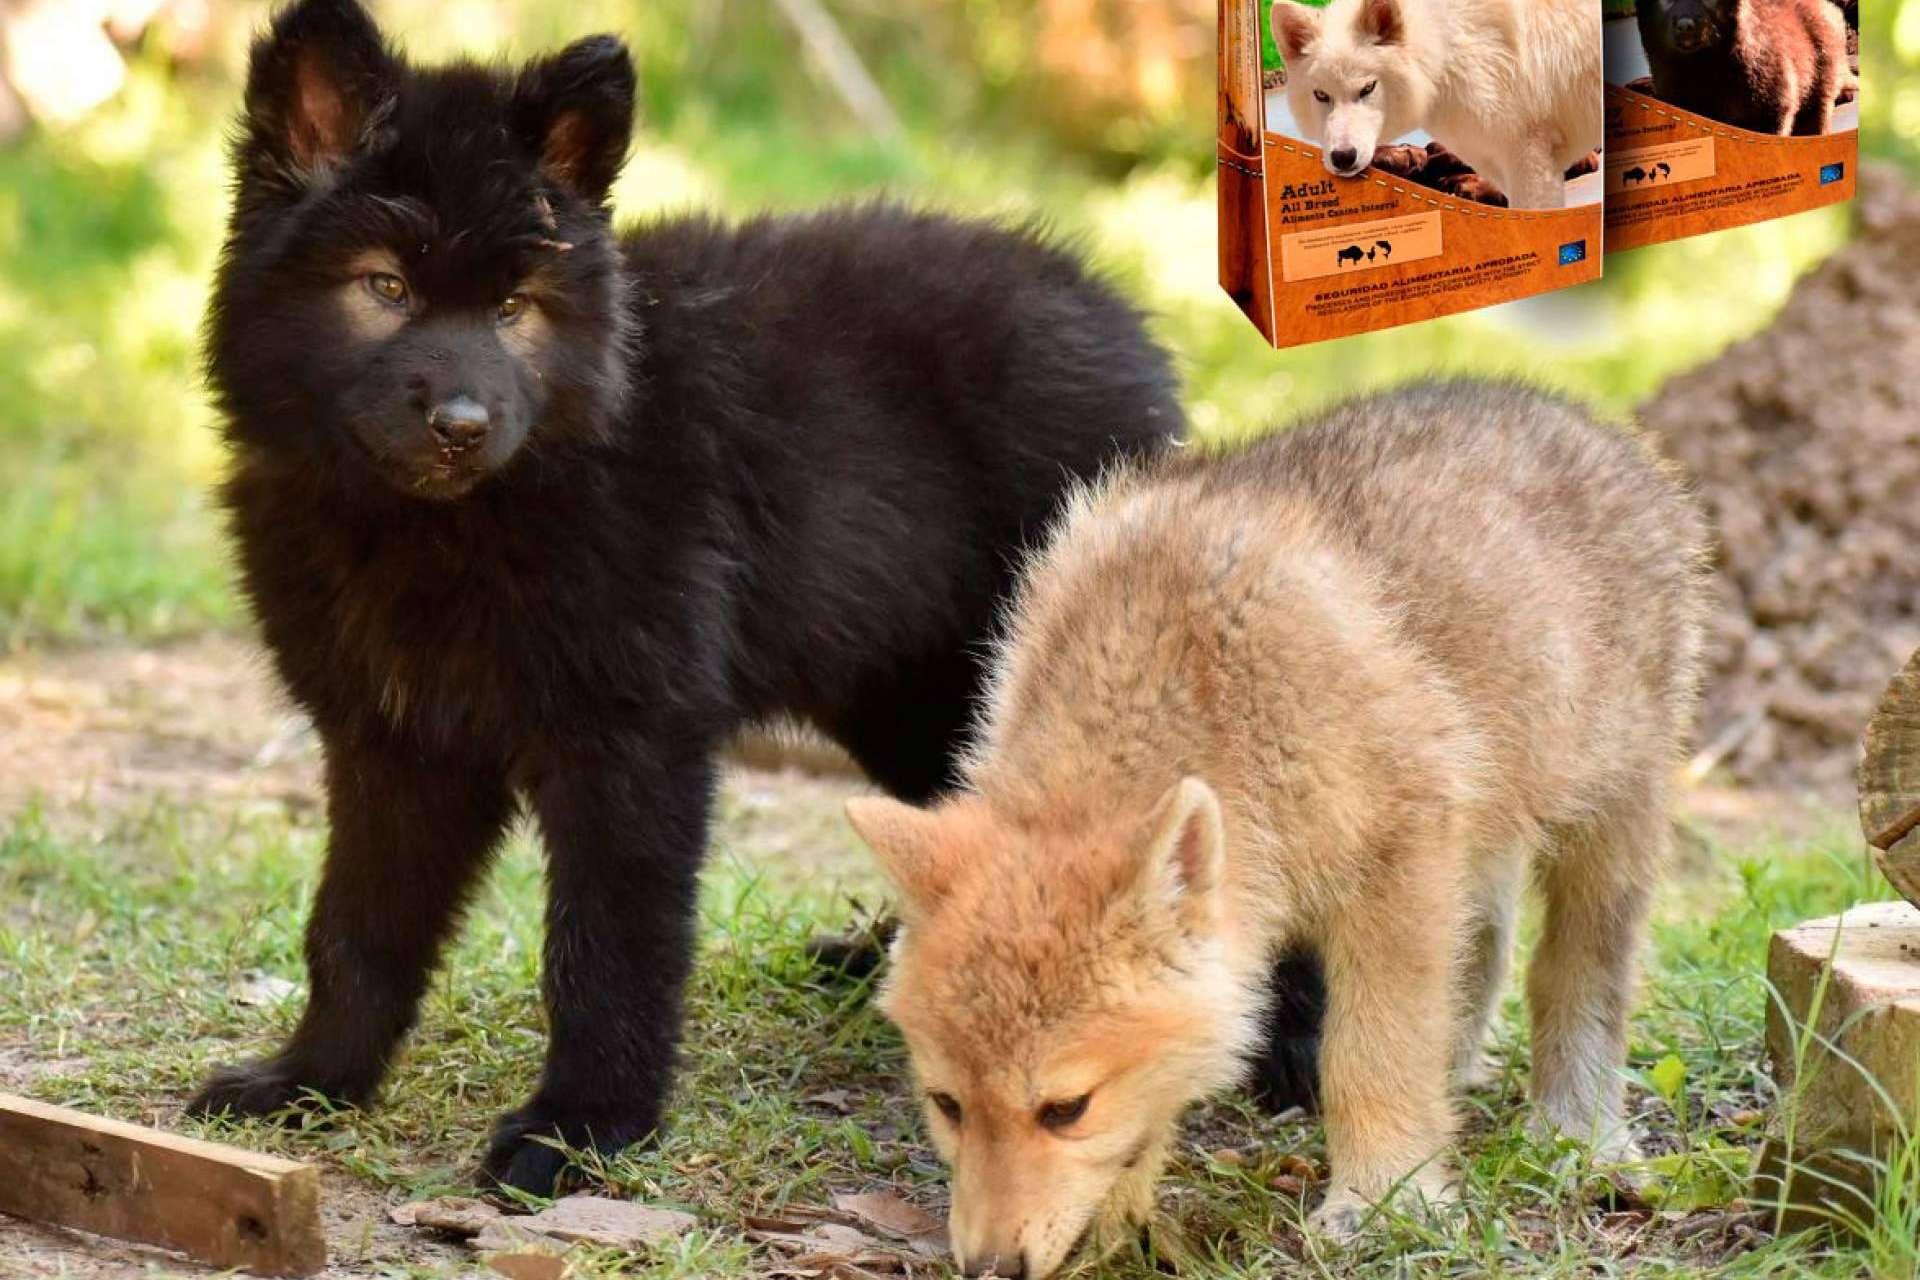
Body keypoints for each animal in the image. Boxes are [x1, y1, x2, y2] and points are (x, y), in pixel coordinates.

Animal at [187, 0, 1204, 1194]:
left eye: (515, 306)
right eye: (384, 286)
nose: (463, 425)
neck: (443, 524)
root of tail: (1127, 330)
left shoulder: (632, 743)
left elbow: (604, 950)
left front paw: (581, 1128)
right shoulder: (393, 746)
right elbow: (355, 930)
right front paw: (312, 1082)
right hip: (911, 691)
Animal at [847, 382, 1706, 1278]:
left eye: (1065, 1108)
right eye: (947, 1104)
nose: (988, 1269)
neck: (1208, 690)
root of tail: (1587, 421)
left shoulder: (1400, 860)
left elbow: (1370, 1052)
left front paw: (1385, 1198)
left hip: (1613, 810)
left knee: (1578, 972)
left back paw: (1583, 1131)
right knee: (1487, 943)